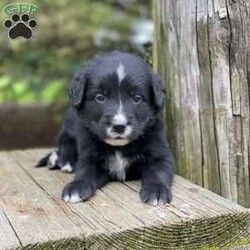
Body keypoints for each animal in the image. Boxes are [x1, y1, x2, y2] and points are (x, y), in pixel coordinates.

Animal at [37, 50, 175, 205]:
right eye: (100, 97)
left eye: (136, 98)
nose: (119, 126)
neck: (119, 147)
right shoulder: (90, 154)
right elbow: (85, 171)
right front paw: (76, 187)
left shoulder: (159, 153)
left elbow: (158, 171)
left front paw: (157, 191)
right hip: (71, 123)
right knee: (65, 140)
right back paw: (63, 160)